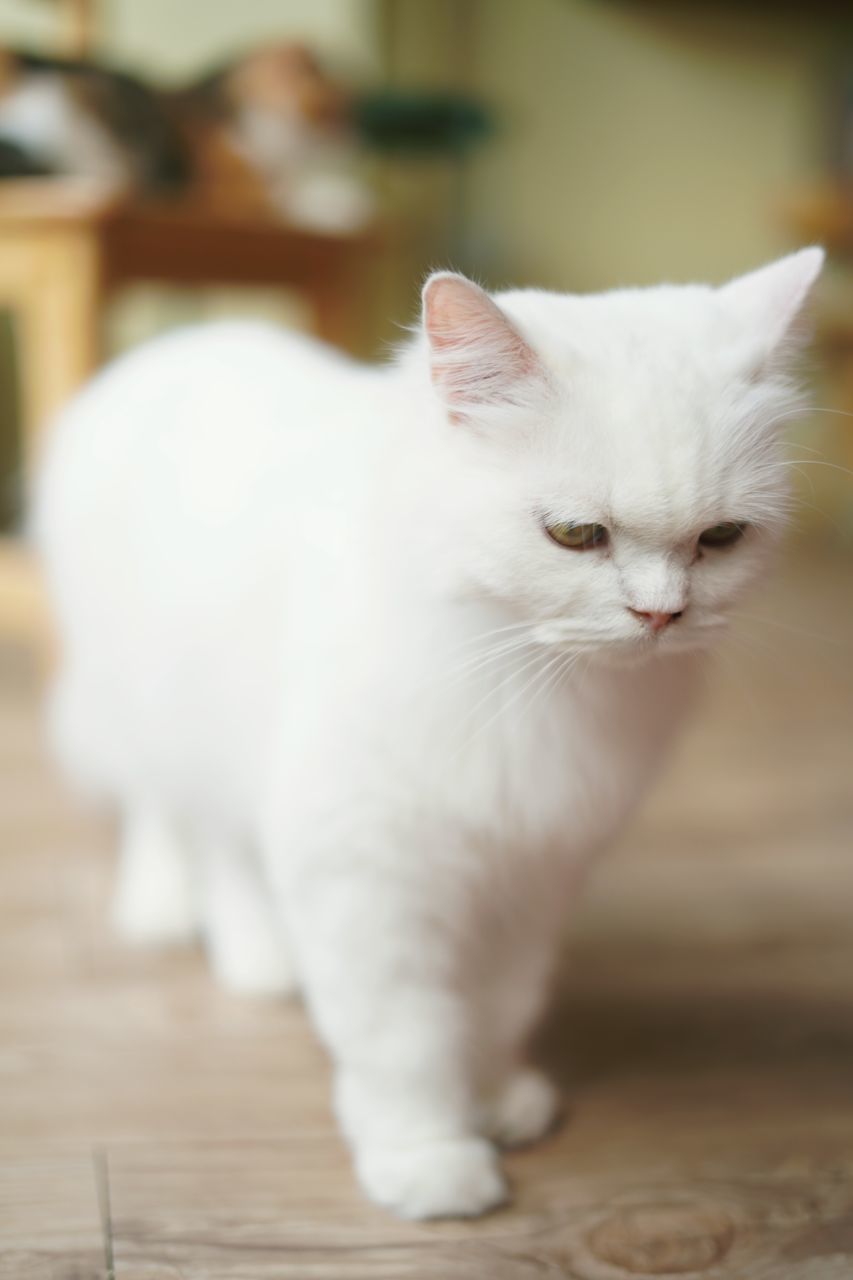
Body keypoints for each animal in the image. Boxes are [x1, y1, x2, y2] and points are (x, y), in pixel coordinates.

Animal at [34, 249, 824, 1218]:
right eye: (575, 535)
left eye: (720, 538)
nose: (659, 615)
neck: (534, 685)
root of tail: (183, 342)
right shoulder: (370, 869)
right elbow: (403, 1035)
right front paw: (430, 1161)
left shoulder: (532, 866)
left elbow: (497, 1005)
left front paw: (497, 1099)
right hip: (146, 708)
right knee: (170, 817)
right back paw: (187, 923)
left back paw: (258, 954)